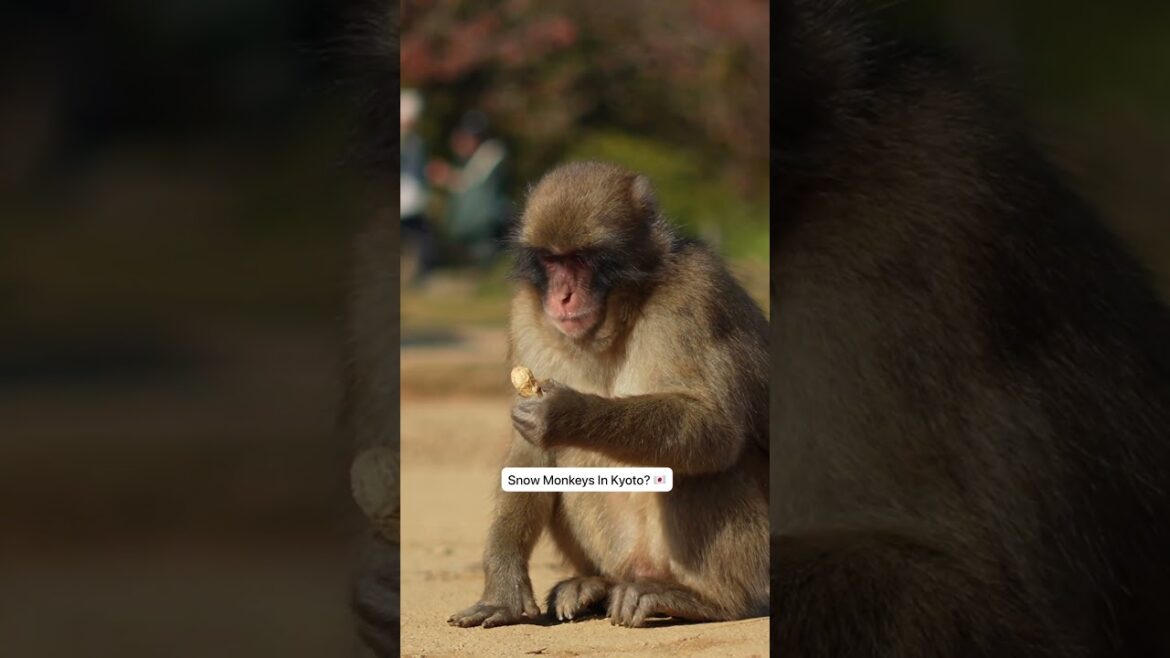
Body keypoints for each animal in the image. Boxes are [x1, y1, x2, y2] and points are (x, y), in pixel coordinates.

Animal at [446, 161, 770, 629]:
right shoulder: (527, 314)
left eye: (580, 260)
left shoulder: (696, 295)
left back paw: (709, 602)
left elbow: (717, 428)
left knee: (701, 466)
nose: (562, 296)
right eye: (552, 260)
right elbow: (530, 455)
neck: (620, 315)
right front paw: (502, 587)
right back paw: (595, 585)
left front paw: (566, 412)